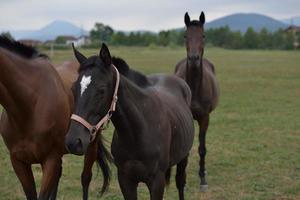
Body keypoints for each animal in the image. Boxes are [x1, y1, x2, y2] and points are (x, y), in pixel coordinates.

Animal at [173, 12, 220, 191]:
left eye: (203, 35)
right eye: (185, 35)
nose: (194, 59)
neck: (193, 87)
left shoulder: (204, 118)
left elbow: (202, 148)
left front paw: (202, 179)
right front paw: (183, 181)